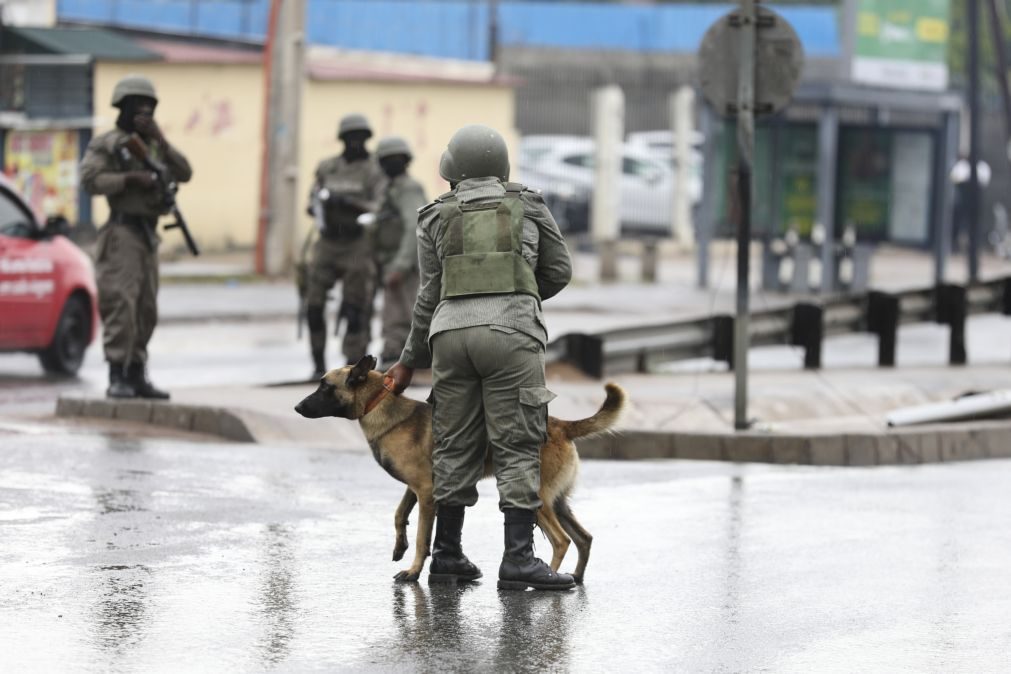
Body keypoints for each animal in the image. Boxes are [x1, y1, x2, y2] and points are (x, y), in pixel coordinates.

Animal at [293, 355, 622, 582]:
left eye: (325, 386)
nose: (296, 407)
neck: (379, 403)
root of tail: (563, 425)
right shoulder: (416, 489)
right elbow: (399, 514)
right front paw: (399, 546)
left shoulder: (426, 493)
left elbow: (423, 538)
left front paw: (413, 570)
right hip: (558, 503)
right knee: (584, 538)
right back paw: (575, 578)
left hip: (538, 499)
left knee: (561, 541)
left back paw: (546, 578)